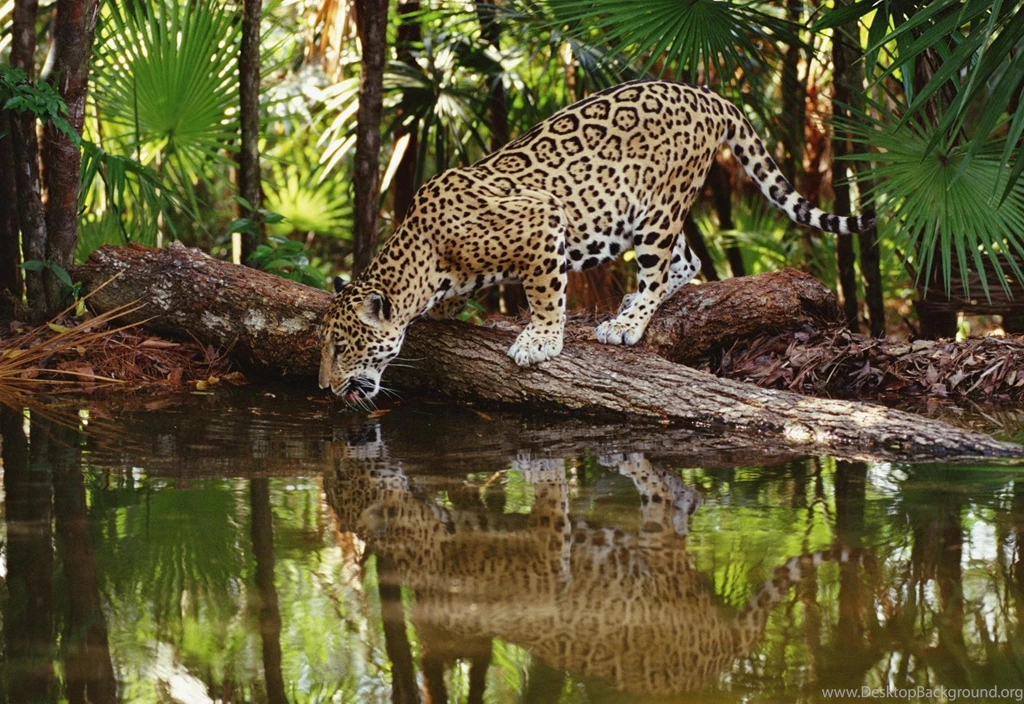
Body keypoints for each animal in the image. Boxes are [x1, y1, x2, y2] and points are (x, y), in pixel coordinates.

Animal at [318, 78, 875, 403]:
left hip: (658, 208)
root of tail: (707, 94)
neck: (424, 255)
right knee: (689, 259)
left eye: (342, 347)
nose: (324, 386)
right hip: (638, 214)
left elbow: (545, 294)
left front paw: (540, 340)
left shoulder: (542, 220)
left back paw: (627, 322)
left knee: (660, 266)